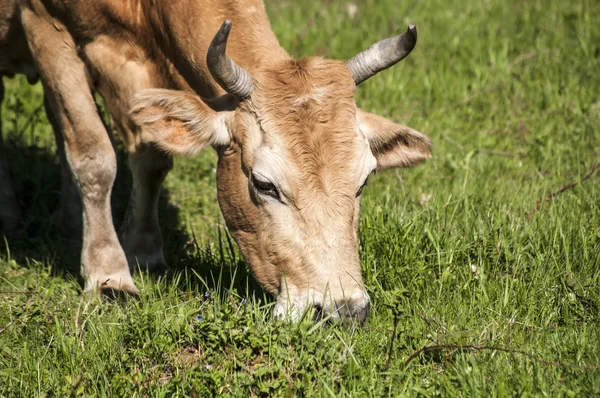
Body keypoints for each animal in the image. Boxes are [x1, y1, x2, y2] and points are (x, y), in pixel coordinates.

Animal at [0, 0, 432, 322]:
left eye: (364, 181)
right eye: (264, 184)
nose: (342, 311)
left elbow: (152, 158)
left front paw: (144, 252)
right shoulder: (43, 22)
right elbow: (93, 154)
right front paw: (109, 275)